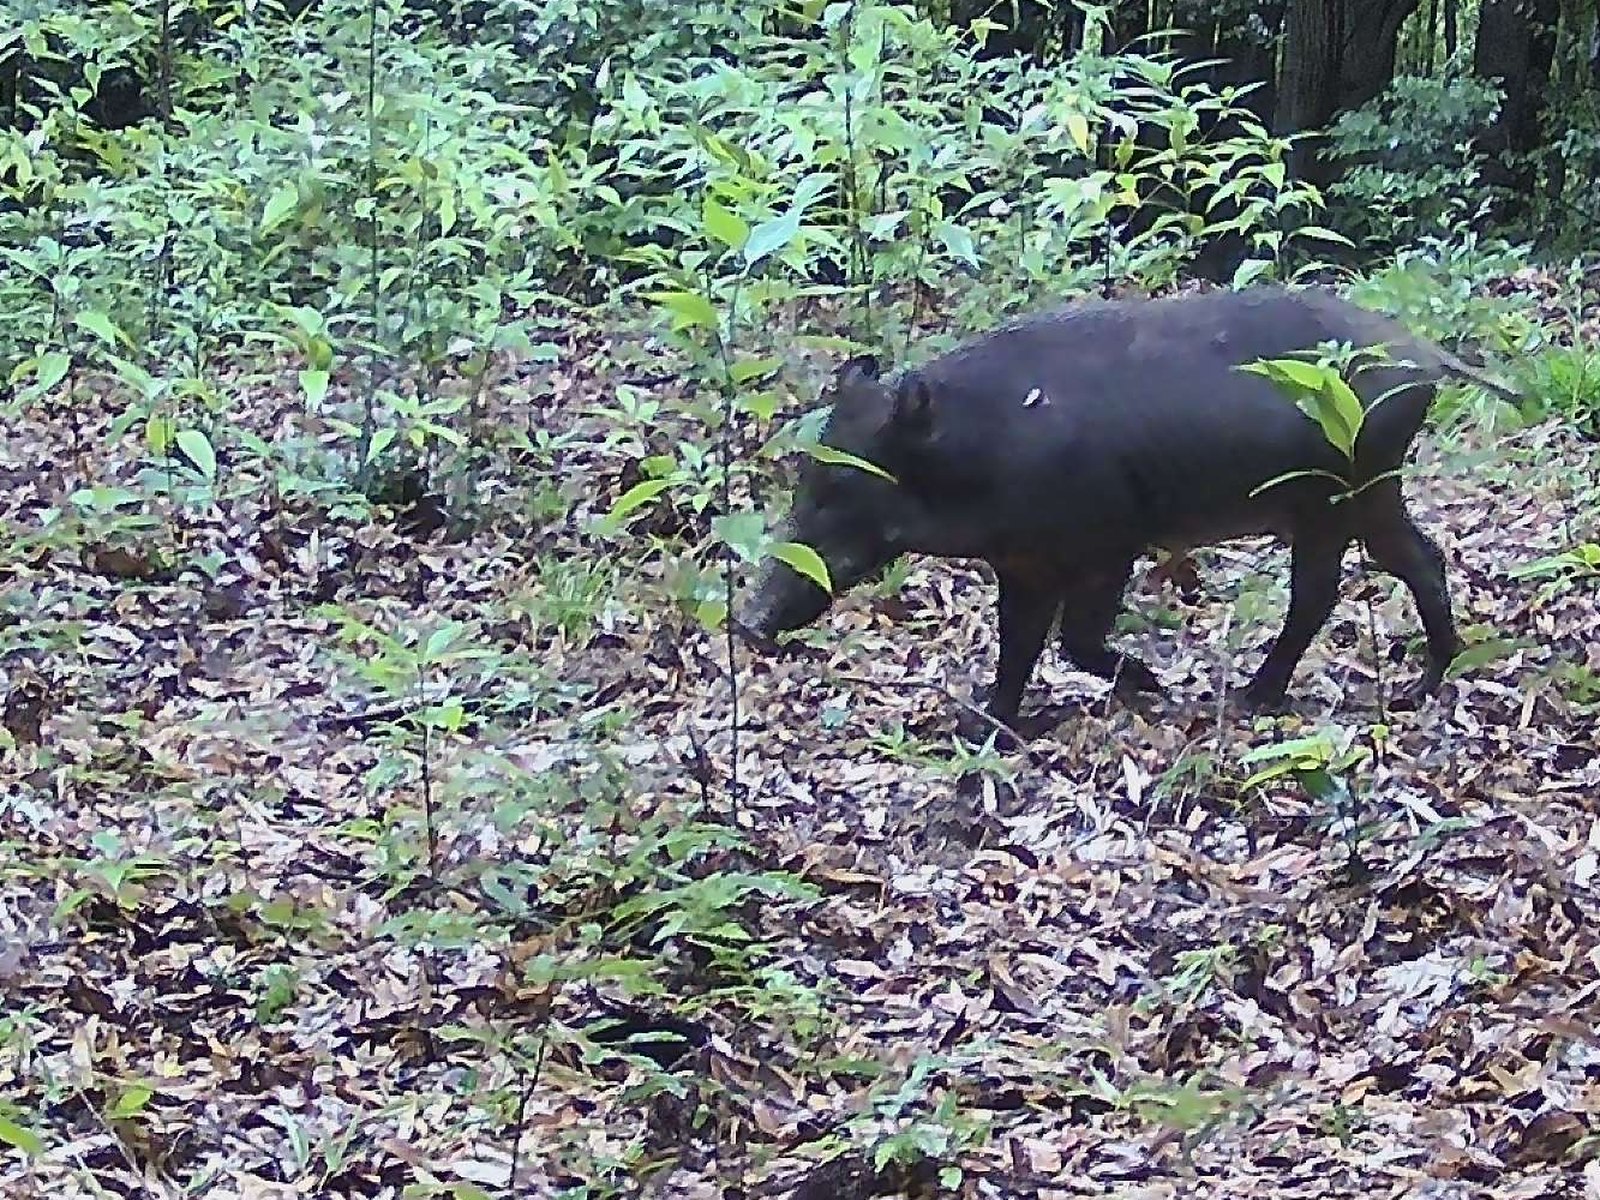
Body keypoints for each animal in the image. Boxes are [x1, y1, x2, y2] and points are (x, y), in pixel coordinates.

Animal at [739, 285, 1503, 743]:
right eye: (804, 476)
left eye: (843, 485)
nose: (747, 622)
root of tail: (1425, 355)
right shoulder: (1022, 563)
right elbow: (1019, 646)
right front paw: (985, 726)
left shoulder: (1108, 545)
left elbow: (1074, 640)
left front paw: (1149, 682)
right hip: (1354, 497)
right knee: (1403, 564)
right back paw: (1402, 685)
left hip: (1345, 492)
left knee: (1335, 587)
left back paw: (1278, 696)